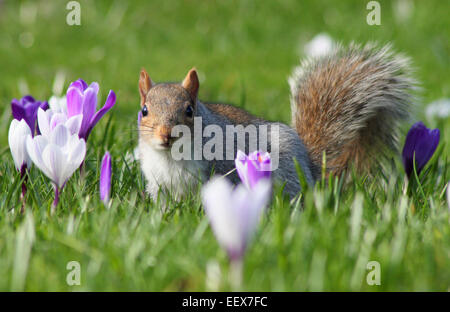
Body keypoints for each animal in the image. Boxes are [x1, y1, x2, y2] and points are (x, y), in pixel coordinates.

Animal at [137, 43, 414, 200]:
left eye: (189, 110)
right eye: (144, 110)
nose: (166, 135)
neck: (171, 156)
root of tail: (310, 167)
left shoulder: (223, 168)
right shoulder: (159, 184)